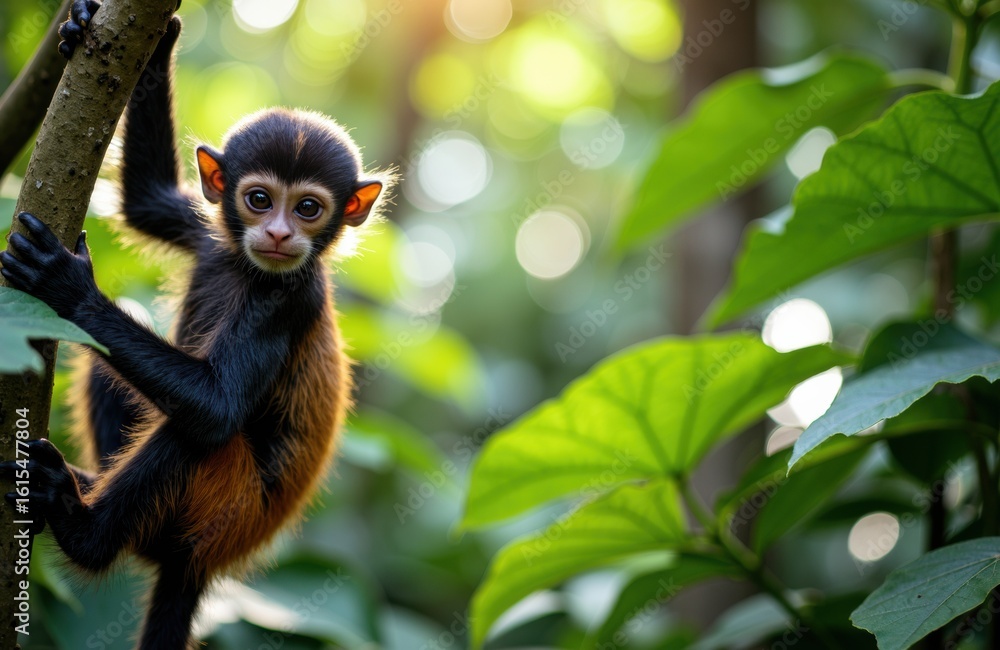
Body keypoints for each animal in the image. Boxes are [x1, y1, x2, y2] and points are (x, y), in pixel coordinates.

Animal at [0, 5, 388, 648]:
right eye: (259, 200)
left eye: (308, 208)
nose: (279, 234)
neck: (245, 270)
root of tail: (204, 561)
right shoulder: (210, 236)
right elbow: (145, 202)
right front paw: (137, 34)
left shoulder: (292, 299)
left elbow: (217, 407)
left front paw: (67, 287)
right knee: (105, 373)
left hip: (225, 502)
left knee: (194, 434)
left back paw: (81, 526)